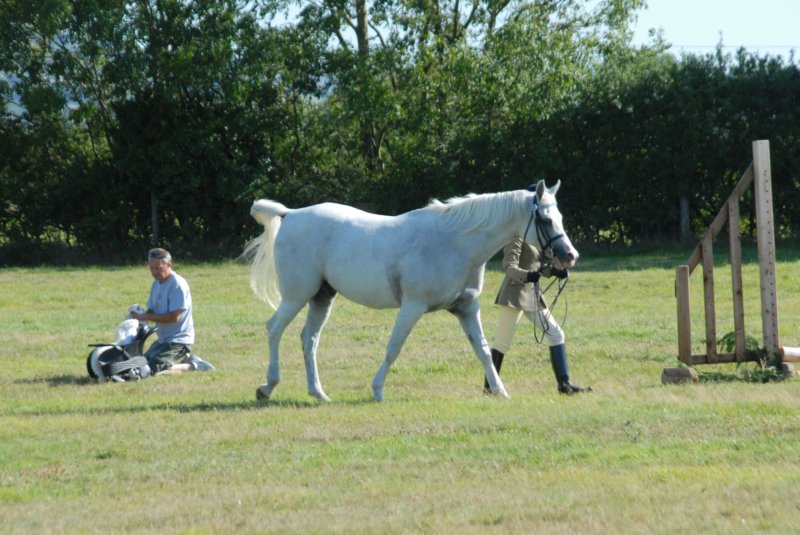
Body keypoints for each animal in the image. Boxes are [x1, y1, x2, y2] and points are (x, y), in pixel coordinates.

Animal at [244, 180, 576, 402]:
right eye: (545, 219)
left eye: (560, 217)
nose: (570, 256)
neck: (454, 243)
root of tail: (291, 214)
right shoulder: (413, 307)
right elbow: (394, 347)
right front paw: (377, 390)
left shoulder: (467, 308)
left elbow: (483, 350)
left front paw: (500, 390)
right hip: (297, 295)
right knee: (275, 328)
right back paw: (267, 387)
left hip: (321, 297)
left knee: (309, 338)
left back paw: (318, 393)